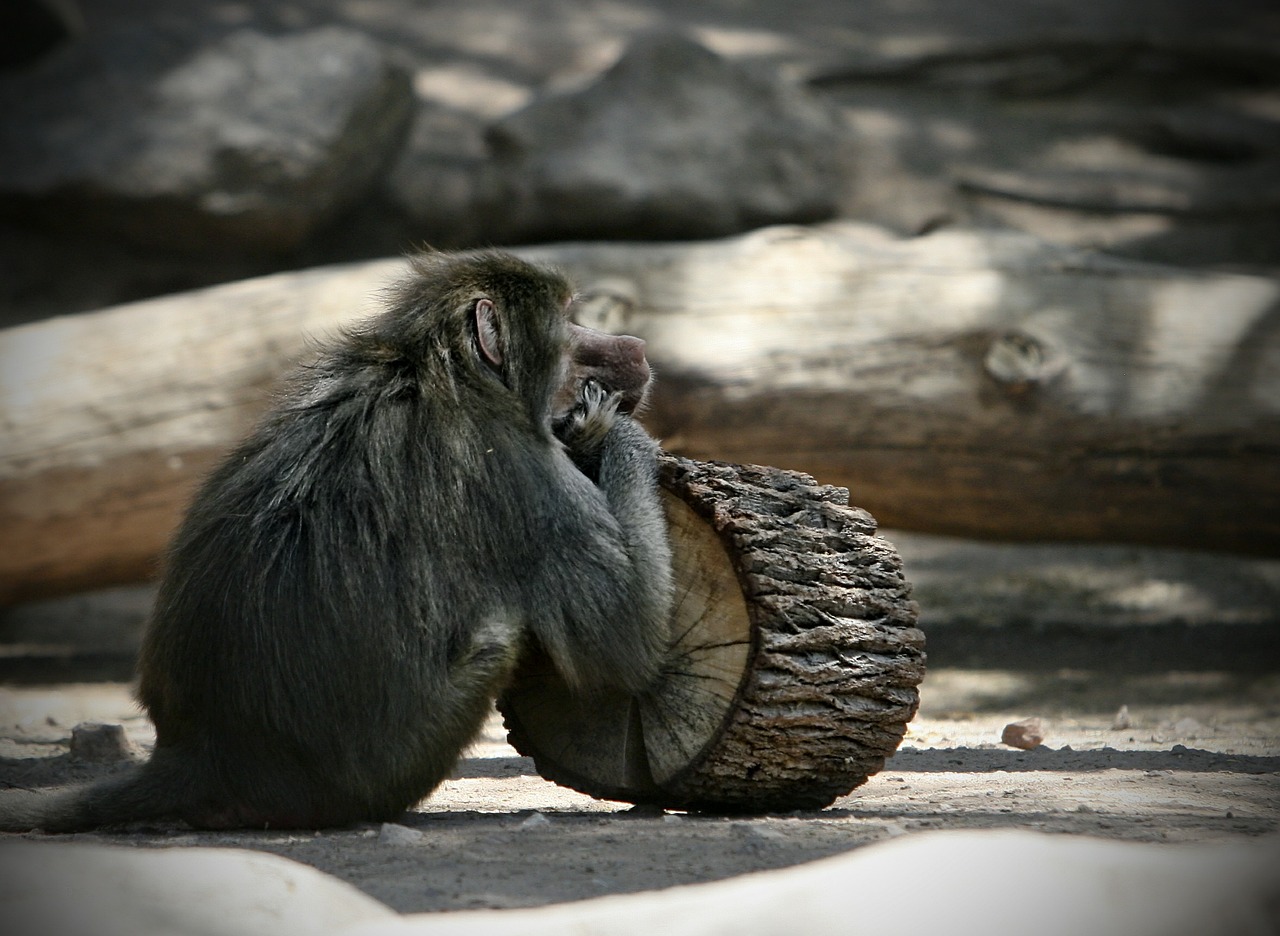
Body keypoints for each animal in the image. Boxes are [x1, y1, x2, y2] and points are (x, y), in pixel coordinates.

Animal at [0, 250, 675, 834]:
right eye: (570, 324)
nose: (636, 347)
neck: (450, 376)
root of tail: (196, 754)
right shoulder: (520, 469)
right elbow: (628, 644)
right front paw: (617, 435)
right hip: (383, 770)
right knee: (500, 638)